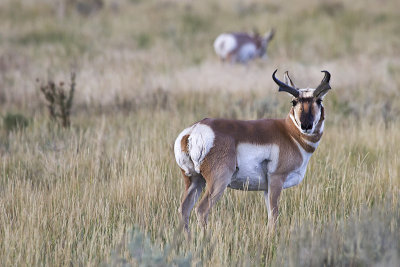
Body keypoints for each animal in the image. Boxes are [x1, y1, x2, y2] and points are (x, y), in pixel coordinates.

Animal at [174, 70, 332, 231]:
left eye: (319, 100)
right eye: (294, 102)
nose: (306, 125)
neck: (289, 133)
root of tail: (193, 131)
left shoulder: (266, 189)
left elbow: (270, 216)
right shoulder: (276, 180)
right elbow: (274, 216)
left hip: (195, 181)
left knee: (183, 210)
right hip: (218, 181)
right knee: (201, 209)